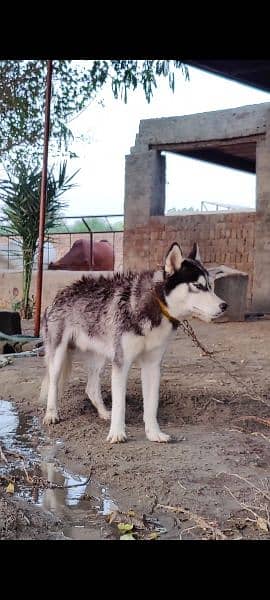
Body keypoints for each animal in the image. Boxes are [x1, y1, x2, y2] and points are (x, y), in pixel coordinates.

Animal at [41, 241, 227, 442]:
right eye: (197, 286)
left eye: (211, 286)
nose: (224, 305)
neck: (155, 303)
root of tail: (62, 292)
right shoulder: (121, 364)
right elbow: (120, 404)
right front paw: (117, 434)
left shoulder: (152, 366)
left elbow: (151, 406)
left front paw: (154, 434)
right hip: (59, 355)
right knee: (53, 383)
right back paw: (51, 414)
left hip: (101, 357)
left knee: (91, 388)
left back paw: (104, 413)